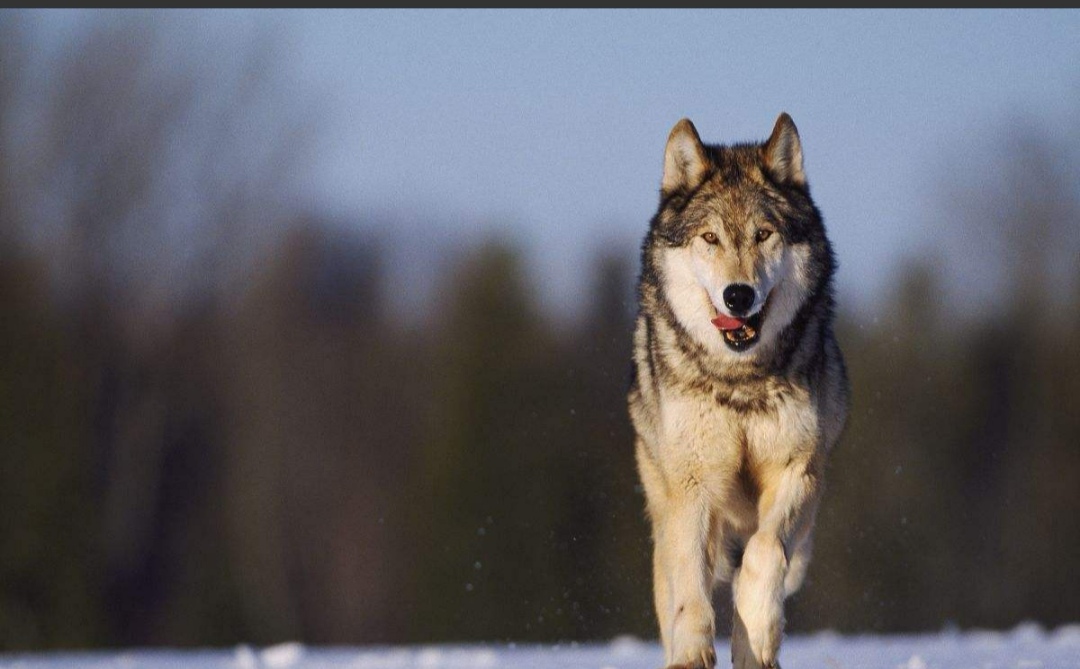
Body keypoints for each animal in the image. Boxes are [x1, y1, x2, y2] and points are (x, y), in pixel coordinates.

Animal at [630, 112, 846, 665]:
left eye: (763, 234)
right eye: (710, 238)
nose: (738, 295)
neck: (740, 380)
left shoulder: (797, 471)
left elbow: (766, 554)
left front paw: (756, 639)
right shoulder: (693, 484)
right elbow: (690, 587)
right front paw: (692, 652)